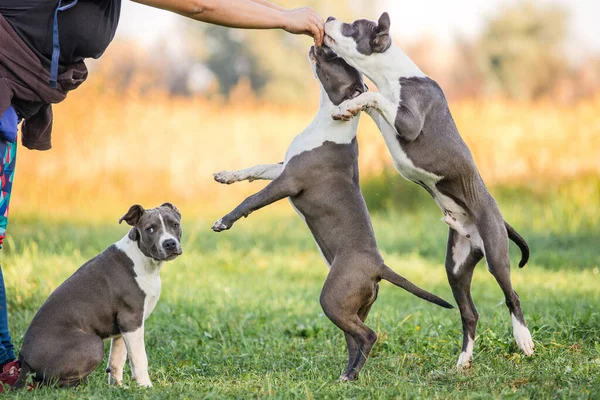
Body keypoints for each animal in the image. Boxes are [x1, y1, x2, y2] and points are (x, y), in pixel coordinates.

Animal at [13, 203, 183, 388]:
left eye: (175, 224)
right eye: (150, 229)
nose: (169, 243)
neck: (144, 260)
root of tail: (24, 360)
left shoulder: (123, 327)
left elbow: (117, 359)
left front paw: (118, 387)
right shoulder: (131, 320)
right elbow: (139, 358)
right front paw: (145, 387)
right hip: (93, 343)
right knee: (52, 382)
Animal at [213, 44, 452, 382]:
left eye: (338, 61)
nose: (319, 45)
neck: (327, 120)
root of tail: (379, 266)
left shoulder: (289, 181)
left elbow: (251, 199)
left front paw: (224, 221)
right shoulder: (281, 169)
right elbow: (255, 169)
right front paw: (227, 175)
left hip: (333, 299)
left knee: (368, 335)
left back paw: (350, 375)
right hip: (352, 307)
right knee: (355, 339)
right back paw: (348, 375)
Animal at [324, 11, 536, 368]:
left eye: (353, 27)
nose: (327, 17)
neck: (393, 74)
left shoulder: (408, 121)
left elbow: (375, 97)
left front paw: (355, 102)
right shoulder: (390, 120)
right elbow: (372, 103)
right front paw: (347, 107)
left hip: (495, 254)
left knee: (513, 296)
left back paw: (524, 341)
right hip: (456, 268)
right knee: (469, 313)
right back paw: (463, 361)